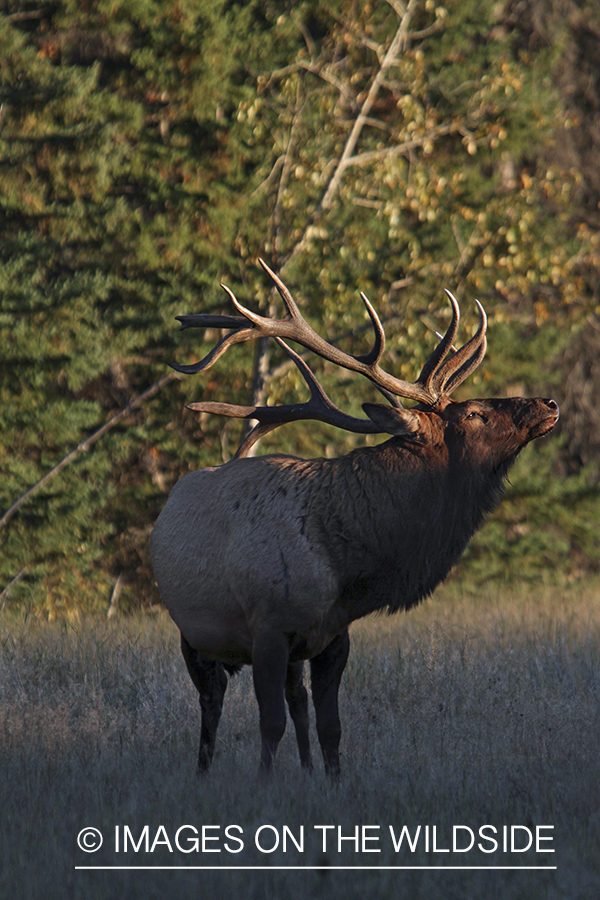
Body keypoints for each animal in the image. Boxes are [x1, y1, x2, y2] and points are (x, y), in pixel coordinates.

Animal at [150, 260, 559, 777]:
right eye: (473, 413)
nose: (549, 403)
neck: (346, 565)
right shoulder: (267, 628)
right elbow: (269, 724)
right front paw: (264, 784)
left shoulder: (333, 636)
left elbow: (330, 728)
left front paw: (330, 781)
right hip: (193, 634)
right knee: (212, 704)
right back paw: (203, 773)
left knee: (296, 702)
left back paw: (302, 771)